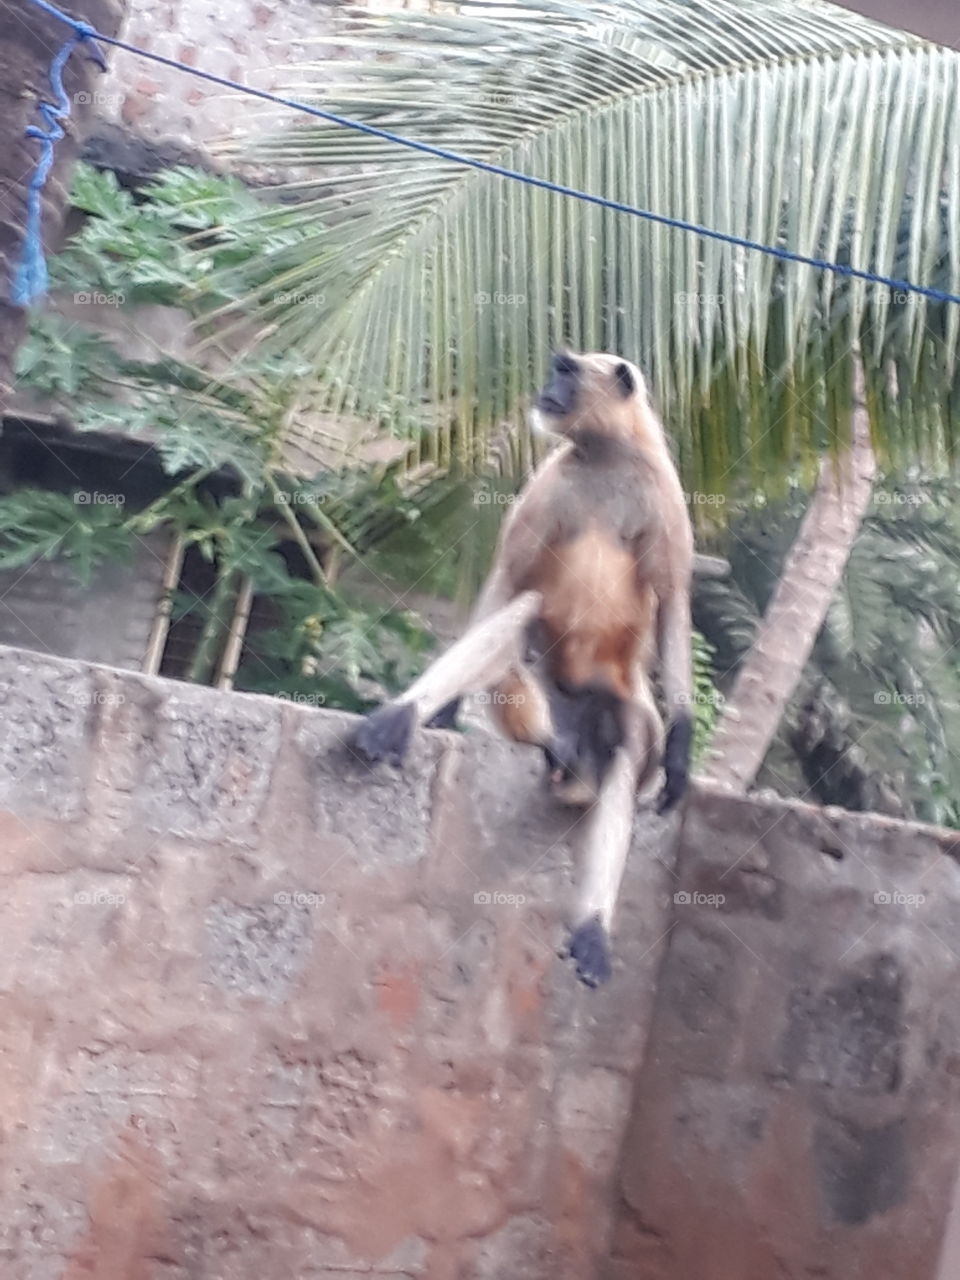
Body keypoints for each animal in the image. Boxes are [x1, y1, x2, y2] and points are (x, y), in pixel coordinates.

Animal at [351, 350, 694, 987]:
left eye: (567, 371)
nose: (546, 388)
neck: (604, 454)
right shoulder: (555, 477)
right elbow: (511, 577)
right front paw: (441, 711)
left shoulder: (664, 491)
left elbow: (674, 601)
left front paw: (683, 753)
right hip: (543, 691)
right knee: (525, 615)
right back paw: (407, 719)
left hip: (614, 702)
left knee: (628, 745)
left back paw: (592, 931)